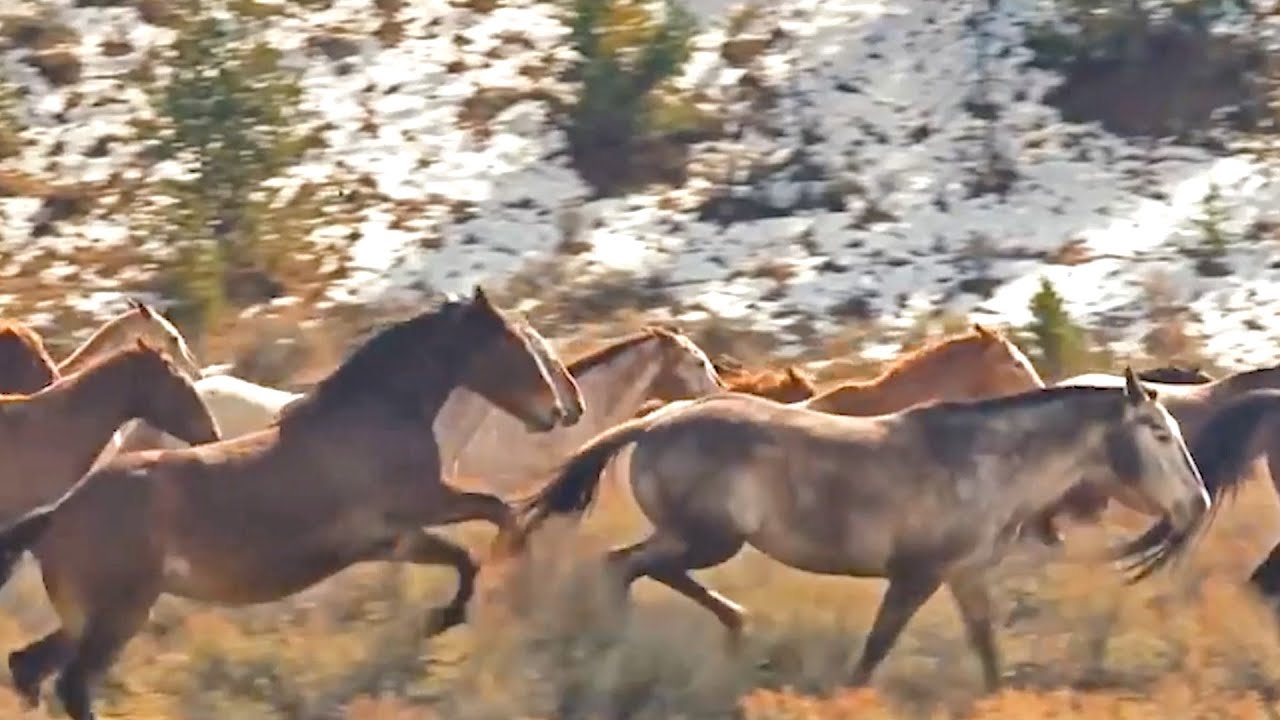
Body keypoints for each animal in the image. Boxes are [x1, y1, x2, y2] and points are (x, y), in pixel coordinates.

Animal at [511, 368, 1209, 692]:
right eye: (1158, 433)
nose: (1197, 504)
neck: (981, 463)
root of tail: (657, 422)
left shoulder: (964, 576)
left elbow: (987, 649)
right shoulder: (917, 575)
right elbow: (875, 650)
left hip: (702, 540)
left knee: (640, 569)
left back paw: (733, 626)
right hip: (708, 538)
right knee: (624, 566)